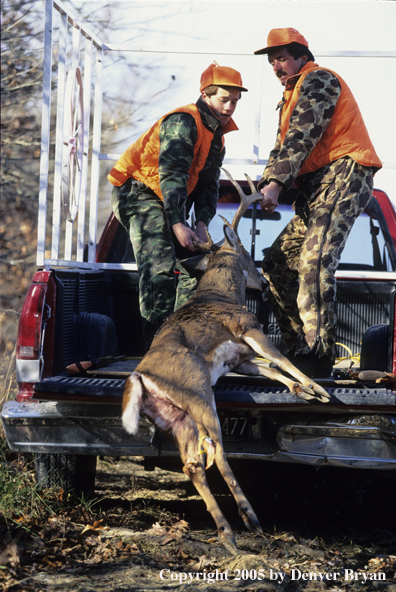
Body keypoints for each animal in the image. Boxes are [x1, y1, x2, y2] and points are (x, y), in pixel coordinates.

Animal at [121, 168, 332, 556]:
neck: (221, 293)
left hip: (177, 417)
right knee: (215, 448)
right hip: (199, 393)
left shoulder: (240, 359)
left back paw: (228, 535)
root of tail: (140, 377)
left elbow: (273, 370)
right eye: (249, 257)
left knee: (193, 463)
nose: (262, 281)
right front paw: (319, 389)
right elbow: (282, 360)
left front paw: (303, 390)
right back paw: (250, 518)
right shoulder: (248, 328)